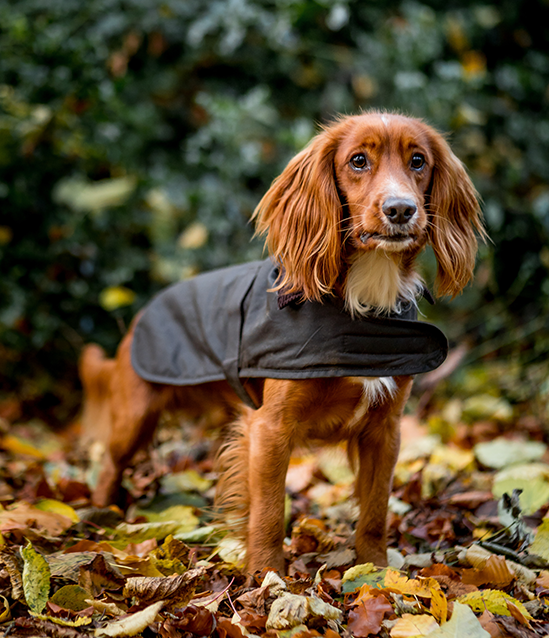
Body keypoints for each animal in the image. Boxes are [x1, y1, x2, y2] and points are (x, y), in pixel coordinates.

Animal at [79, 112, 482, 576]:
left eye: (418, 161)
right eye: (358, 160)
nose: (400, 209)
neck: (359, 305)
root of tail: (140, 316)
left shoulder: (385, 430)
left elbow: (375, 511)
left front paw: (376, 571)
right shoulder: (271, 428)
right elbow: (270, 511)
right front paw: (265, 574)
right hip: (136, 416)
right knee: (110, 463)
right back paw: (102, 515)